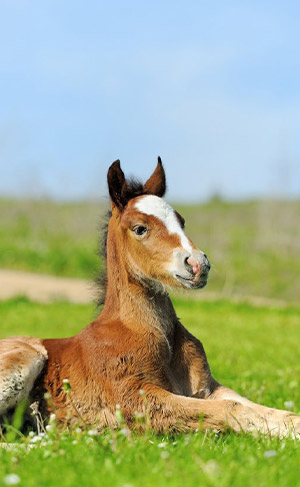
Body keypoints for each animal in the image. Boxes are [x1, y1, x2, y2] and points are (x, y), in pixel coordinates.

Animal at [0, 160, 300, 438]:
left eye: (181, 221)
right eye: (140, 228)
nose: (198, 264)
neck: (152, 332)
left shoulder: (208, 388)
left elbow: (268, 411)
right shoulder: (133, 400)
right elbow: (232, 409)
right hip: (26, 358)